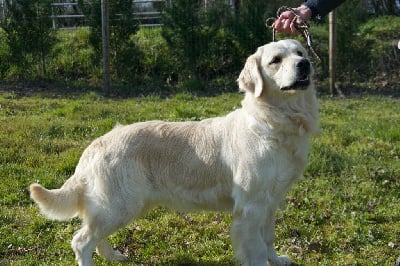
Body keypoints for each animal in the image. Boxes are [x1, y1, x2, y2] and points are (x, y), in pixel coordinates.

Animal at [29, 39, 318, 266]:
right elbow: (256, 249)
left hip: (116, 205)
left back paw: (114, 256)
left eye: (300, 52)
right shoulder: (251, 207)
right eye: (276, 60)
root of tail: (96, 144)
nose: (304, 65)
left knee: (94, 236)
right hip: (119, 204)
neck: (273, 122)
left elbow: (268, 238)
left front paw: (277, 259)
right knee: (81, 241)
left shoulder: (270, 201)